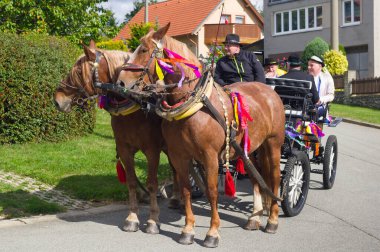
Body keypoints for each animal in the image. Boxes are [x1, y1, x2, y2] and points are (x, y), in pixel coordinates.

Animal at [52, 41, 181, 234]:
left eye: (77, 72)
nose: (57, 100)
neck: (136, 105)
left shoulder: (152, 151)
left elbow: (151, 183)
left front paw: (153, 220)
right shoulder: (124, 149)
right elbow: (132, 182)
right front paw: (132, 218)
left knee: (177, 169)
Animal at [119, 24, 284, 248]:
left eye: (144, 50)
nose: (120, 82)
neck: (195, 105)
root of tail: (269, 90)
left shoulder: (210, 156)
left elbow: (212, 191)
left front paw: (212, 233)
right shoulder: (179, 155)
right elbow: (186, 189)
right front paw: (188, 230)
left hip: (273, 145)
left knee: (274, 179)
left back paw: (273, 219)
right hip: (248, 149)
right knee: (256, 177)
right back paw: (255, 217)